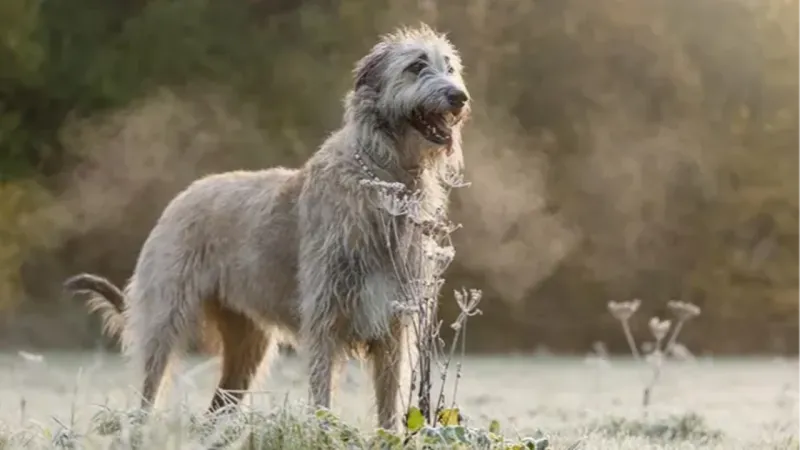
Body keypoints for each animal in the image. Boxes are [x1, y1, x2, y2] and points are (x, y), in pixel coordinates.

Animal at [67, 22, 476, 430]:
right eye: (416, 65)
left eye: (450, 68)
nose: (459, 97)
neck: (385, 178)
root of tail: (180, 199)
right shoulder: (324, 318)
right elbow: (321, 394)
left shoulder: (394, 323)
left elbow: (389, 405)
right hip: (164, 318)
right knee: (149, 388)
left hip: (248, 342)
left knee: (219, 407)